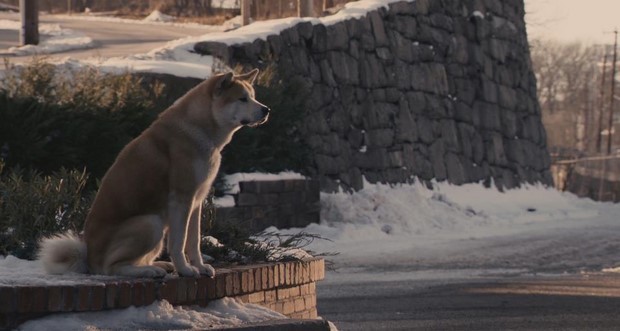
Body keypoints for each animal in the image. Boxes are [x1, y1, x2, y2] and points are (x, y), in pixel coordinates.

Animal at [38, 70, 268, 280]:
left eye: (253, 96)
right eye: (242, 98)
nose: (266, 109)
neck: (199, 127)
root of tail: (89, 259)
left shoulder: (196, 201)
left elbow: (194, 241)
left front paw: (200, 267)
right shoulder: (182, 200)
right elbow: (179, 242)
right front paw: (185, 270)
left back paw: (158, 265)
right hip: (151, 223)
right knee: (111, 267)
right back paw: (148, 271)